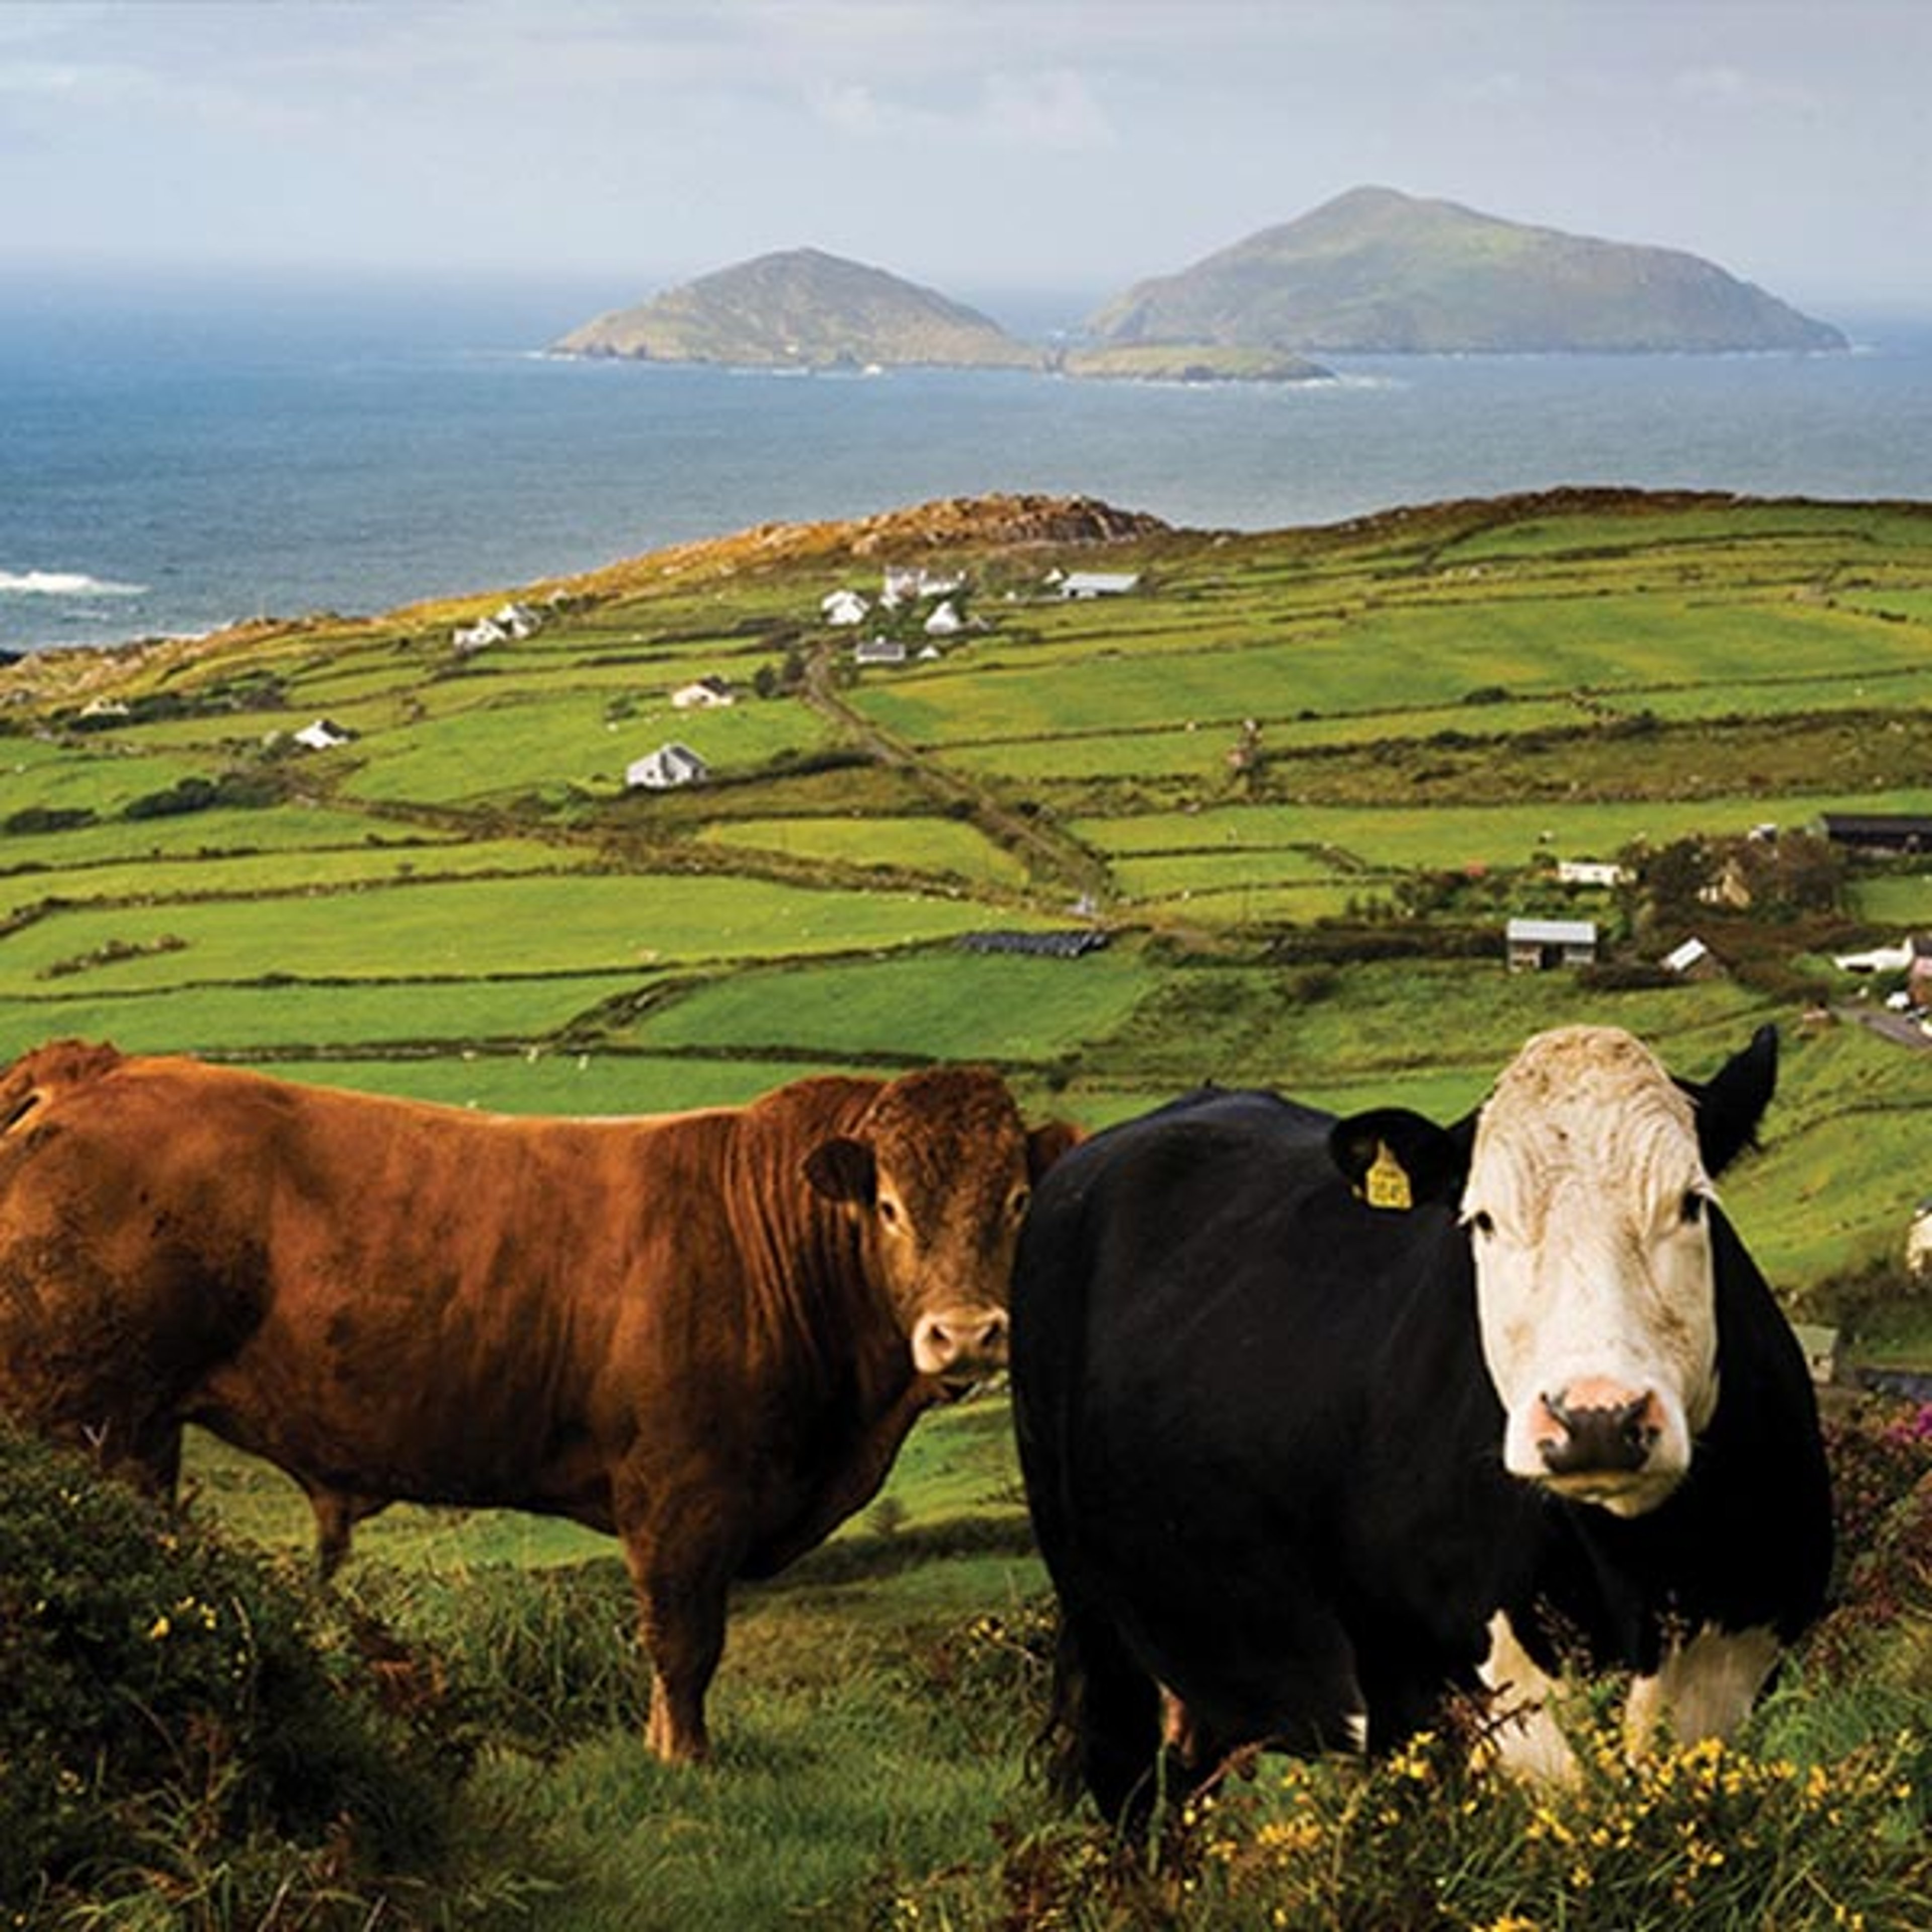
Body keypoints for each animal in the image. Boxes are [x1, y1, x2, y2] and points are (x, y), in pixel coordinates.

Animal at [0, 1039, 1076, 1764]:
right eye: (889, 1206)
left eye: (1018, 1200)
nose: (966, 1333)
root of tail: (98, 1069)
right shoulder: (684, 1498)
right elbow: (685, 1646)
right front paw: (682, 1761)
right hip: (80, 1417)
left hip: (139, 1435)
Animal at [1009, 1024, 1832, 1821]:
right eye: (1483, 1220)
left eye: (1692, 1203)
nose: (1596, 1416)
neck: (1632, 1580)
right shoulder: (1409, 1699)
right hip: (1098, 1618)